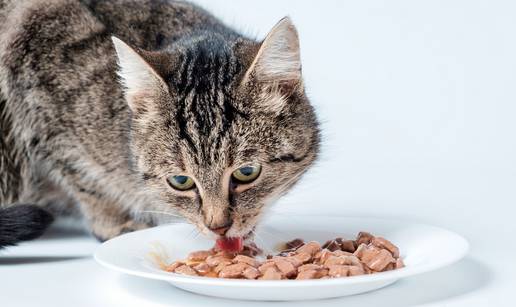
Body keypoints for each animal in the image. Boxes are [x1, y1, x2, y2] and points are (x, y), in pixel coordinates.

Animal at [0, 0, 318, 249]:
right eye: (180, 181)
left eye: (247, 173)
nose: (218, 227)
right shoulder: (38, 89)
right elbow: (83, 179)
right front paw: (115, 223)